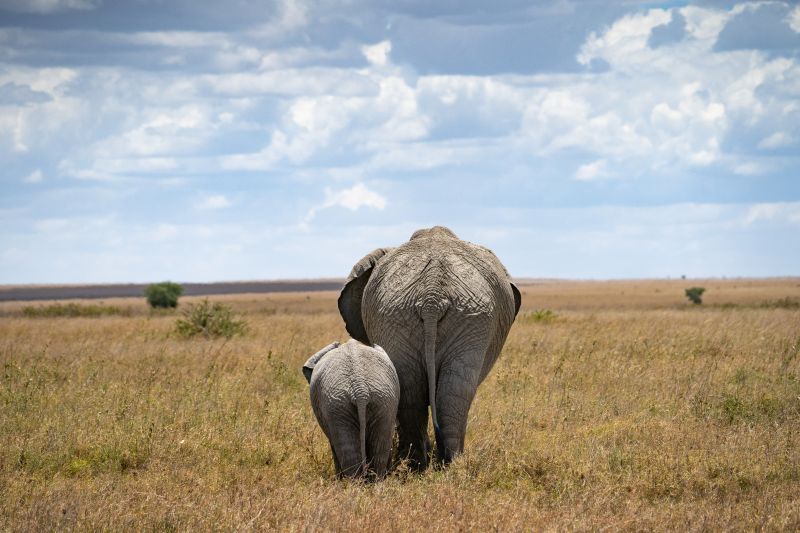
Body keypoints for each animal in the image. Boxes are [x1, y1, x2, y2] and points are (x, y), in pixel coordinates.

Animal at [336, 227, 520, 468]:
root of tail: (432, 298)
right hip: (419, 316)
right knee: (438, 392)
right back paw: (435, 464)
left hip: (459, 318)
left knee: (434, 391)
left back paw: (428, 464)